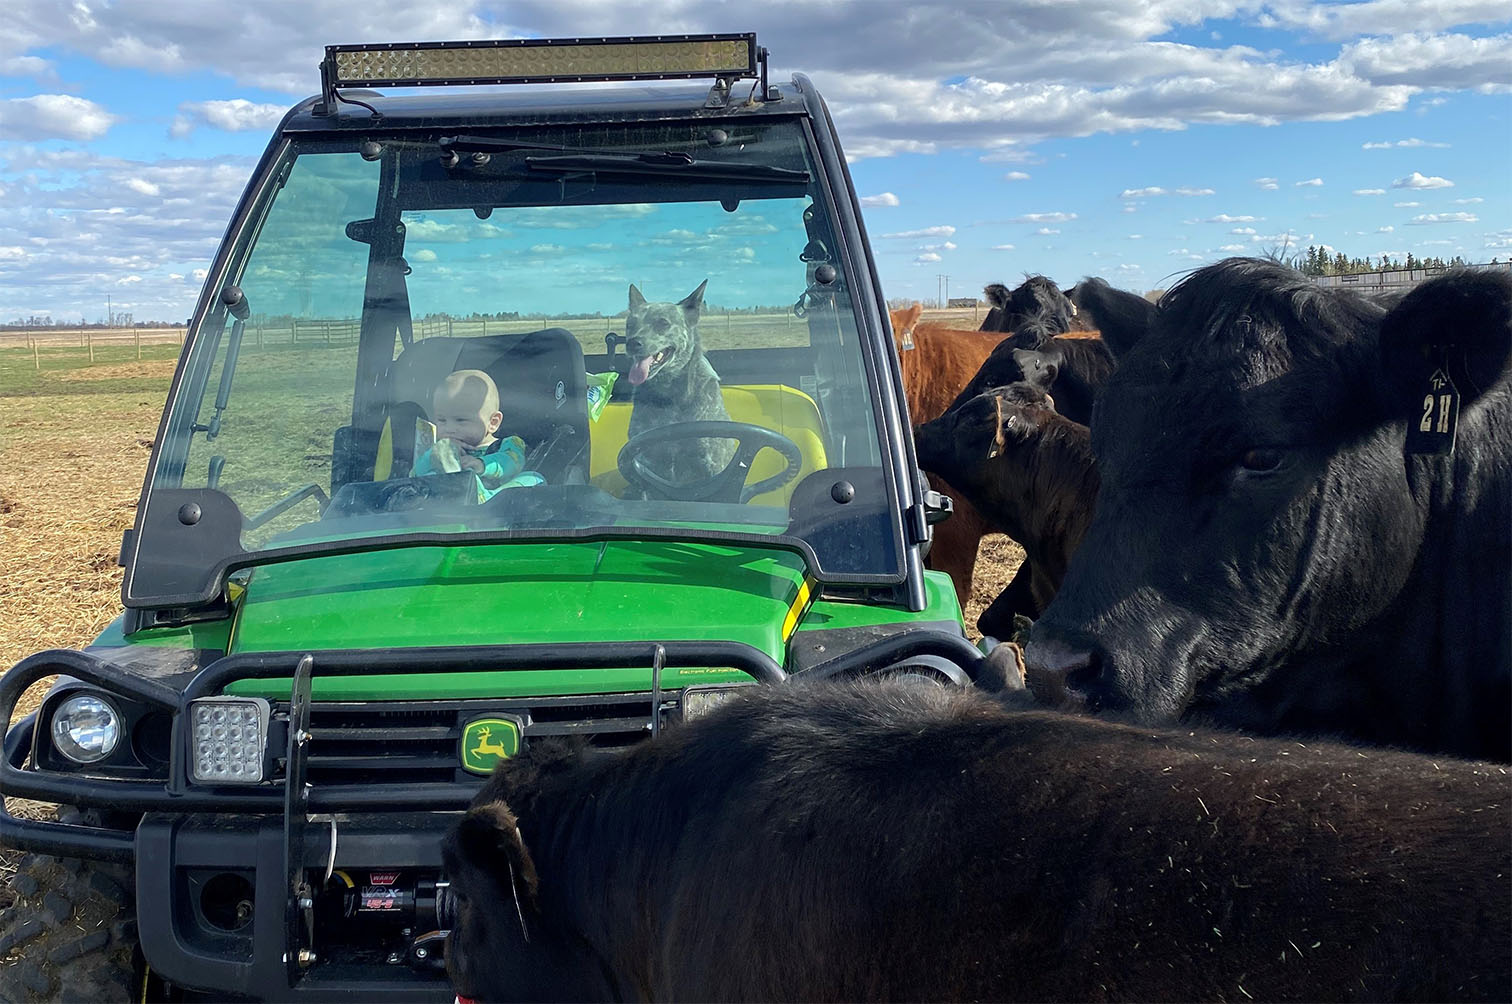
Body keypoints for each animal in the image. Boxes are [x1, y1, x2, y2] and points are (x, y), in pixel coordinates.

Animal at [622, 282, 734, 489]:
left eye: (663, 323)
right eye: (630, 324)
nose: (632, 343)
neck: (669, 394)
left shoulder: (713, 462)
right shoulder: (644, 457)